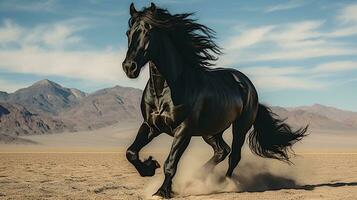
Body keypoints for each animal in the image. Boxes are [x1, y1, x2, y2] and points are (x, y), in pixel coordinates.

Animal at [121, 3, 306, 198]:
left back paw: (225, 183)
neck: (164, 90)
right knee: (222, 151)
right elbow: (131, 152)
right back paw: (196, 178)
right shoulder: (151, 126)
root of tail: (247, 84)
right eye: (128, 33)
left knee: (233, 156)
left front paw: (162, 191)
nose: (129, 67)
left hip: (240, 127)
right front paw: (149, 167)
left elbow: (170, 163)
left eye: (148, 32)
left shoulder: (183, 130)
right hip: (211, 130)